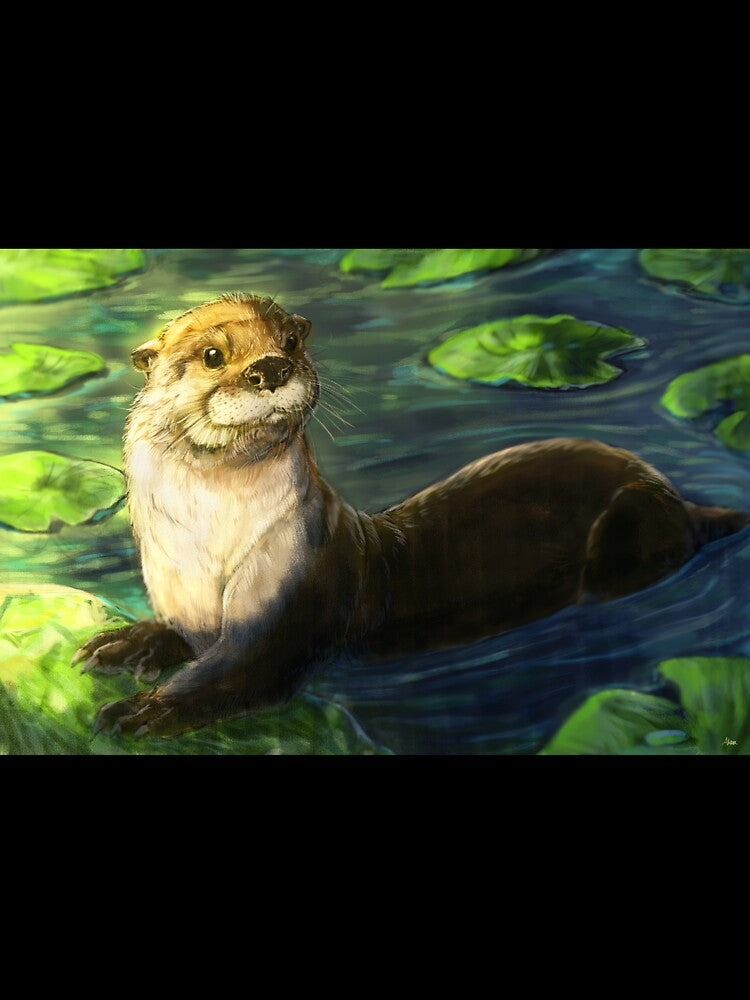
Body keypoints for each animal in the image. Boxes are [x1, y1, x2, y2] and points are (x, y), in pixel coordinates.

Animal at [73, 293, 750, 739]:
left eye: (290, 342)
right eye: (213, 354)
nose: (271, 368)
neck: (207, 546)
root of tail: (678, 495)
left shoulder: (294, 601)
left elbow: (238, 673)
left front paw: (144, 710)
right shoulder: (179, 592)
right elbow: (177, 634)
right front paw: (125, 642)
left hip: (630, 522)